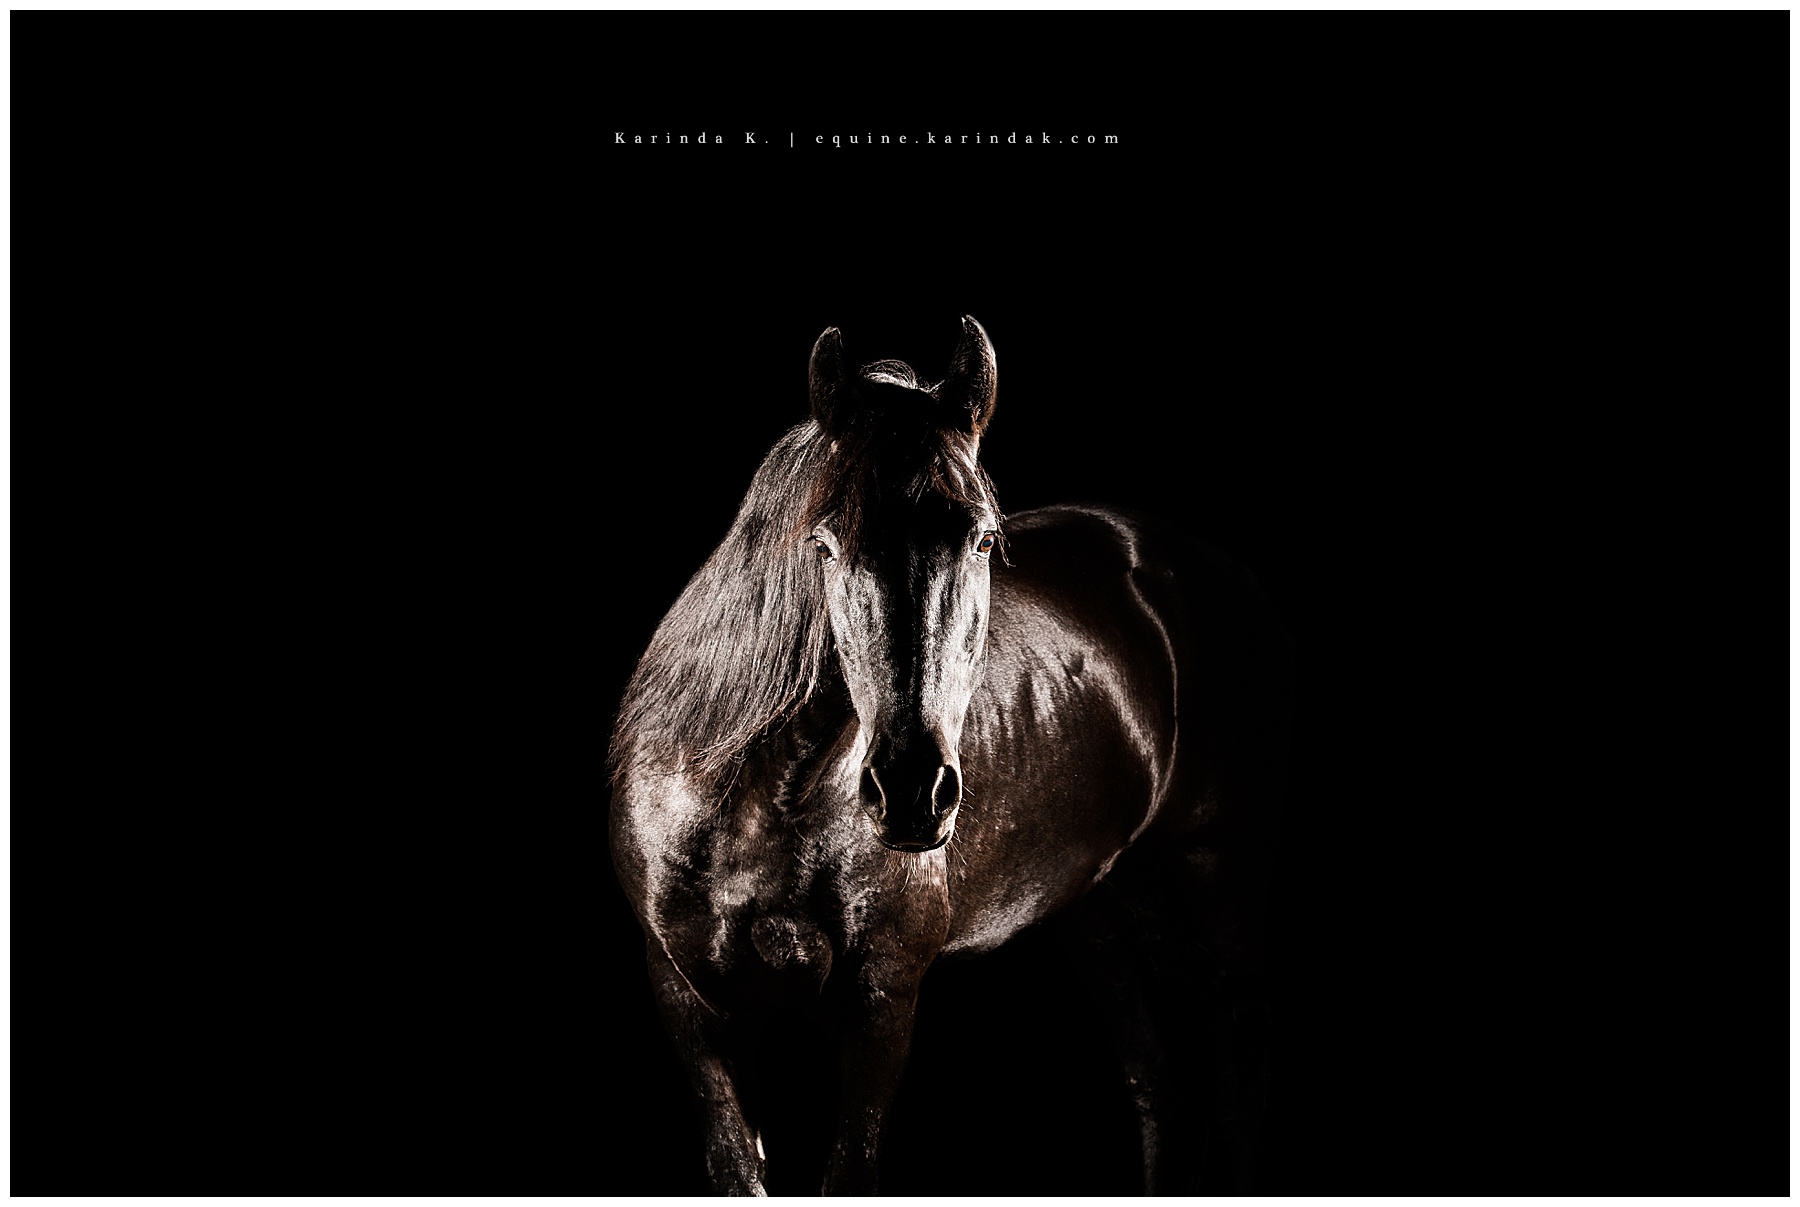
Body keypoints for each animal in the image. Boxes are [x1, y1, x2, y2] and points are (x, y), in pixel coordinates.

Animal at [608, 316, 1293, 1195]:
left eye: (984, 538)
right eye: (823, 542)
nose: (910, 792)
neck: (750, 796)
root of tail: (1202, 567)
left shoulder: (882, 998)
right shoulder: (689, 1003)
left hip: (1218, 865)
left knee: (1235, 1066)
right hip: (1105, 900)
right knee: (1160, 1077)